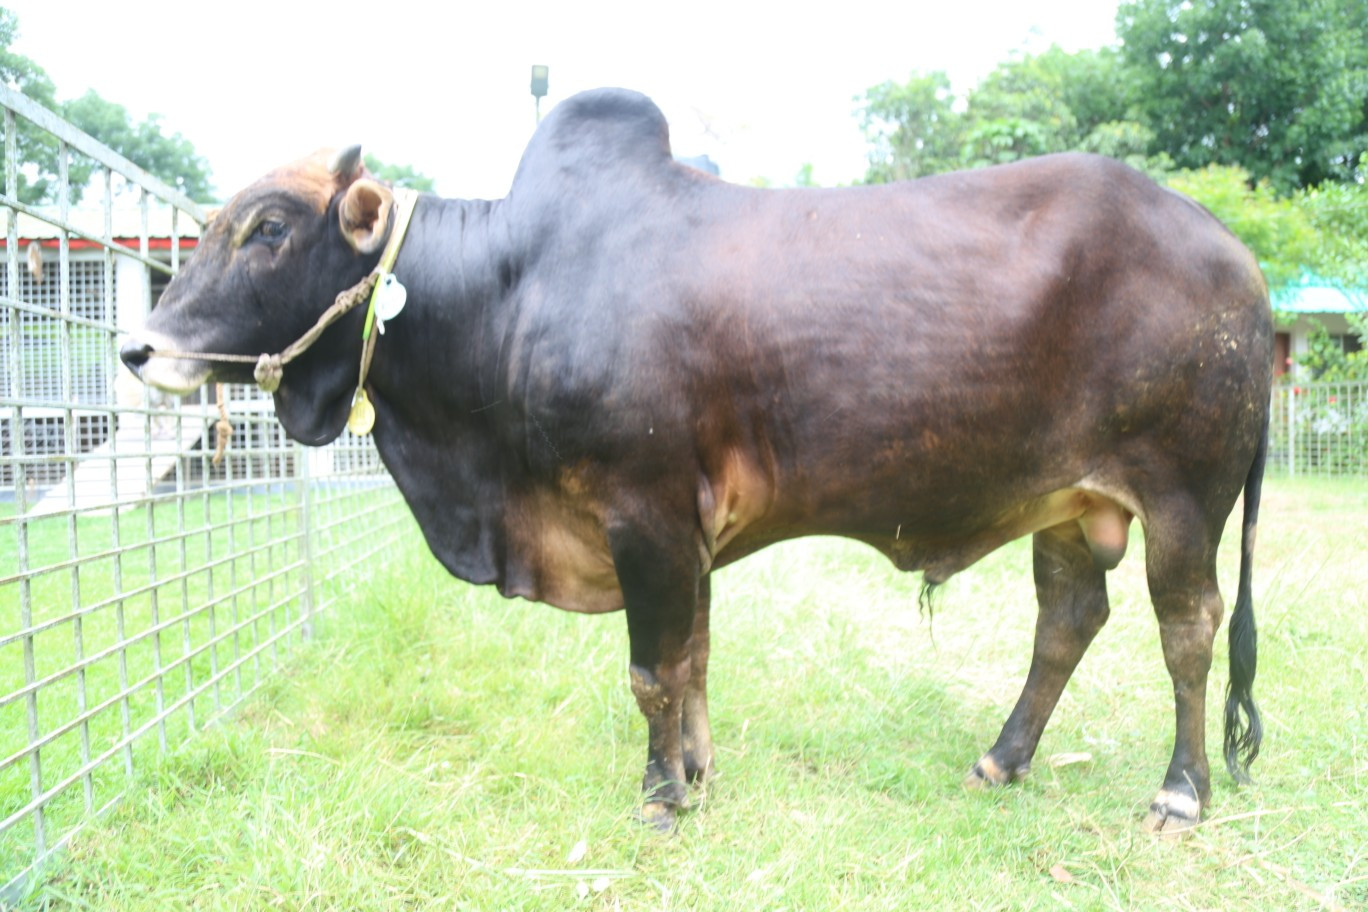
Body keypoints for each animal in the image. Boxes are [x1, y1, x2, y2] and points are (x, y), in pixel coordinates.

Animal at [121, 88, 1272, 833]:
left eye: (269, 228)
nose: (138, 348)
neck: (510, 287)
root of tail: (1236, 255)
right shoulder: (688, 532)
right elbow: (695, 659)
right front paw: (699, 770)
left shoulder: (645, 514)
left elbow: (650, 670)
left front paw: (662, 797)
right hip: (1070, 507)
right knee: (1069, 621)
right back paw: (1002, 758)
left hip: (1183, 497)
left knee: (1189, 631)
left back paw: (1180, 792)